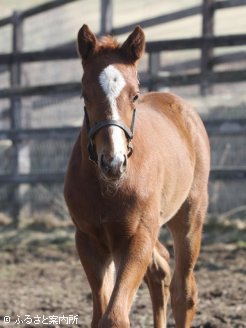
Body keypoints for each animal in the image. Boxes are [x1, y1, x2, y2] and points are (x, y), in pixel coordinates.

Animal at [64, 24, 210, 326]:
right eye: (85, 95)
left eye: (134, 95)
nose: (113, 162)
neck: (108, 188)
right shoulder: (89, 241)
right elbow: (100, 314)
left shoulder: (136, 238)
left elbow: (114, 316)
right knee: (161, 269)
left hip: (189, 217)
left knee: (183, 291)